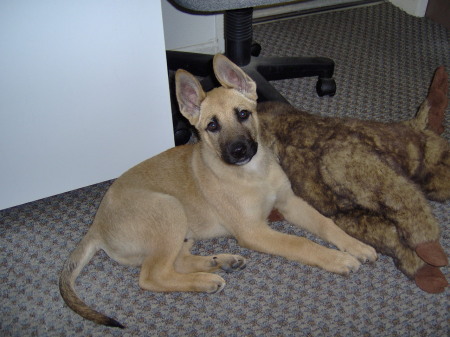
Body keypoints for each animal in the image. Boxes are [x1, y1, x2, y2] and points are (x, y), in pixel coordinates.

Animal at [59, 54, 376, 326]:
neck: (254, 174)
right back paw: (205, 279)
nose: (239, 151)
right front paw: (337, 259)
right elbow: (300, 243)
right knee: (152, 276)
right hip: (168, 209)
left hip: (181, 230)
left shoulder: (289, 202)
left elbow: (326, 224)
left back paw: (220, 262)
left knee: (176, 261)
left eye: (244, 114)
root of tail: (97, 226)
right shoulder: (253, 232)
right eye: (212, 126)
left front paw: (354, 245)